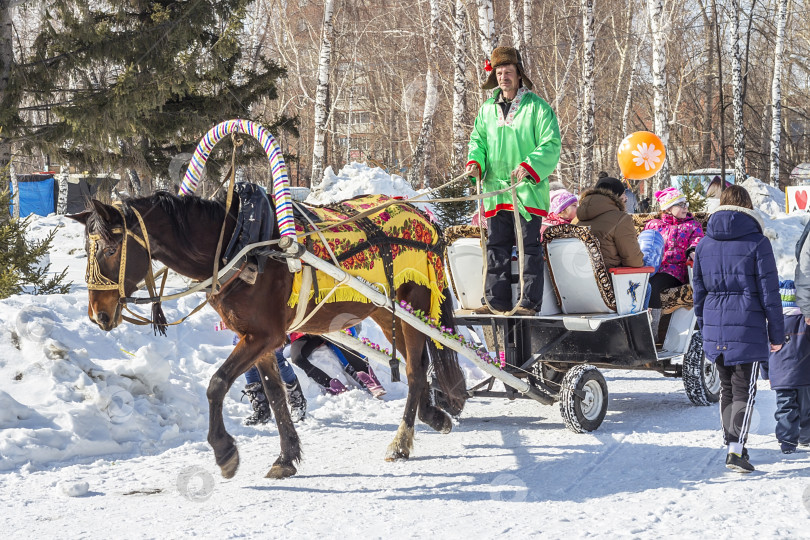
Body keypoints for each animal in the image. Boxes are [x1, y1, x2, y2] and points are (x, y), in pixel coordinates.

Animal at [69, 192, 468, 478]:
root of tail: (424, 217)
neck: (240, 246)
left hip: (414, 306)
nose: (98, 315)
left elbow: (216, 384)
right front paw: (287, 457)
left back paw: (402, 441)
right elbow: (276, 397)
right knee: (421, 365)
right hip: (387, 312)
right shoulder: (259, 342)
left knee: (416, 371)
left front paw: (224, 451)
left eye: (109, 249)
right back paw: (435, 414)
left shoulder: (263, 337)